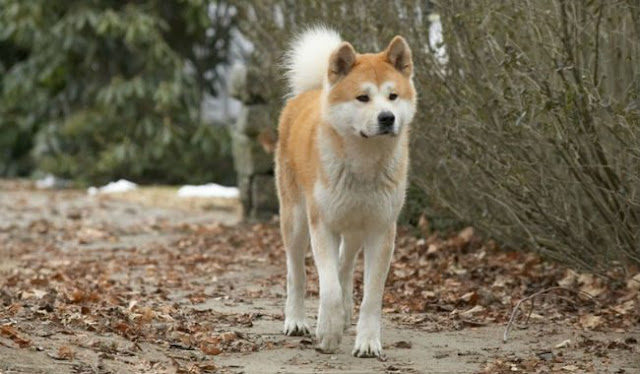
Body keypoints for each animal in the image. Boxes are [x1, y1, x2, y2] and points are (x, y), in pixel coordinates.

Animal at [274, 27, 416, 358]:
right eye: (363, 97)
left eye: (393, 96)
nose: (387, 117)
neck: (363, 163)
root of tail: (312, 92)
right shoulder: (322, 225)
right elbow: (328, 288)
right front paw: (327, 331)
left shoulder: (381, 229)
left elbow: (371, 296)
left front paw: (367, 341)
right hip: (296, 220)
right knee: (296, 273)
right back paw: (297, 320)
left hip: (353, 228)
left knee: (345, 264)